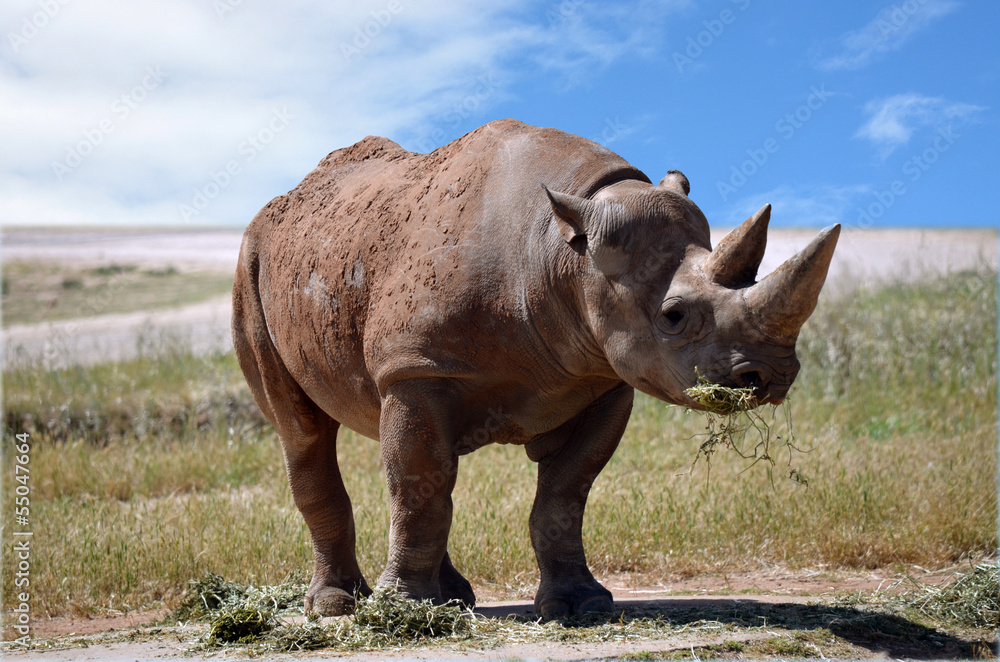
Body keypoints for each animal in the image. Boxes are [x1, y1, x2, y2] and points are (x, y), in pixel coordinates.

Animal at [232, 118, 839, 619]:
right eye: (674, 317)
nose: (769, 377)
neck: (564, 253)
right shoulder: (414, 368)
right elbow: (416, 486)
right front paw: (403, 611)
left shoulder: (601, 377)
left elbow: (564, 493)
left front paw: (580, 607)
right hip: (252, 264)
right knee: (307, 433)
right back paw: (338, 607)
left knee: (430, 464)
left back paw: (454, 598)